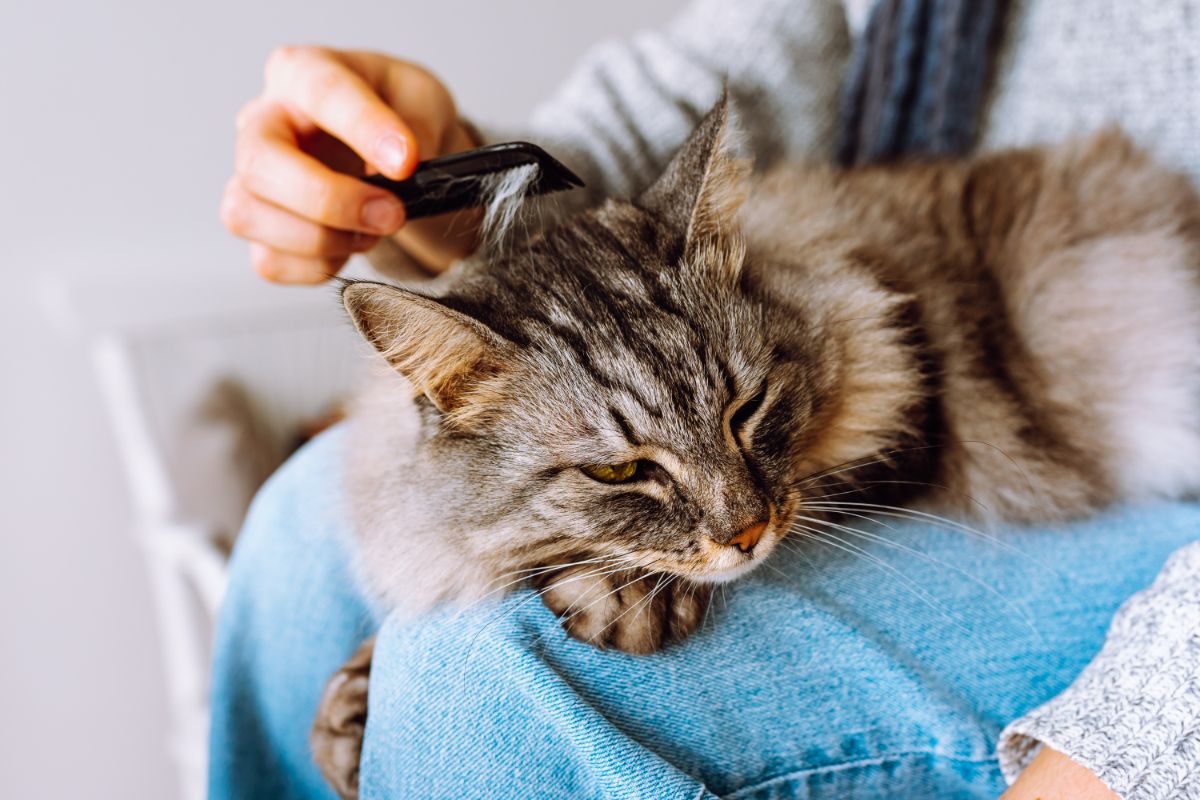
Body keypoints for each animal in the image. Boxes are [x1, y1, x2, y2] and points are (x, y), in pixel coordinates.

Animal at [304, 97, 1200, 796]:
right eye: (618, 470)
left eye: (747, 410)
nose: (747, 534)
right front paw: (345, 712)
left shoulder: (908, 421)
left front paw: (617, 596)